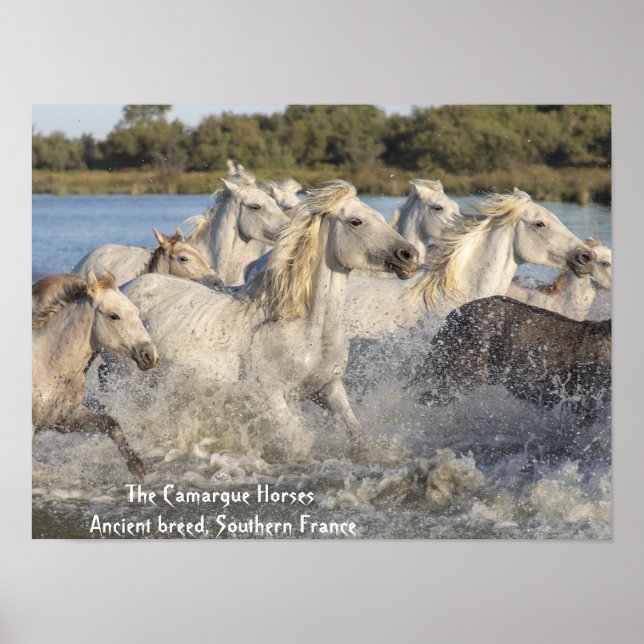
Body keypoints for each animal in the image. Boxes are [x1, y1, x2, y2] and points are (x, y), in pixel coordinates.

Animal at [32, 271, 159, 476]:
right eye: (114, 316)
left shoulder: (66, 419)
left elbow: (111, 424)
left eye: (137, 313)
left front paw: (136, 466)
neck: (48, 363)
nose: (149, 355)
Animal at [122, 181, 420, 461]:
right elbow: (299, 443)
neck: (307, 329)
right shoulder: (271, 396)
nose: (410, 256)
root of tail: (126, 286)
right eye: (356, 221)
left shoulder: (329, 389)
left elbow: (358, 435)